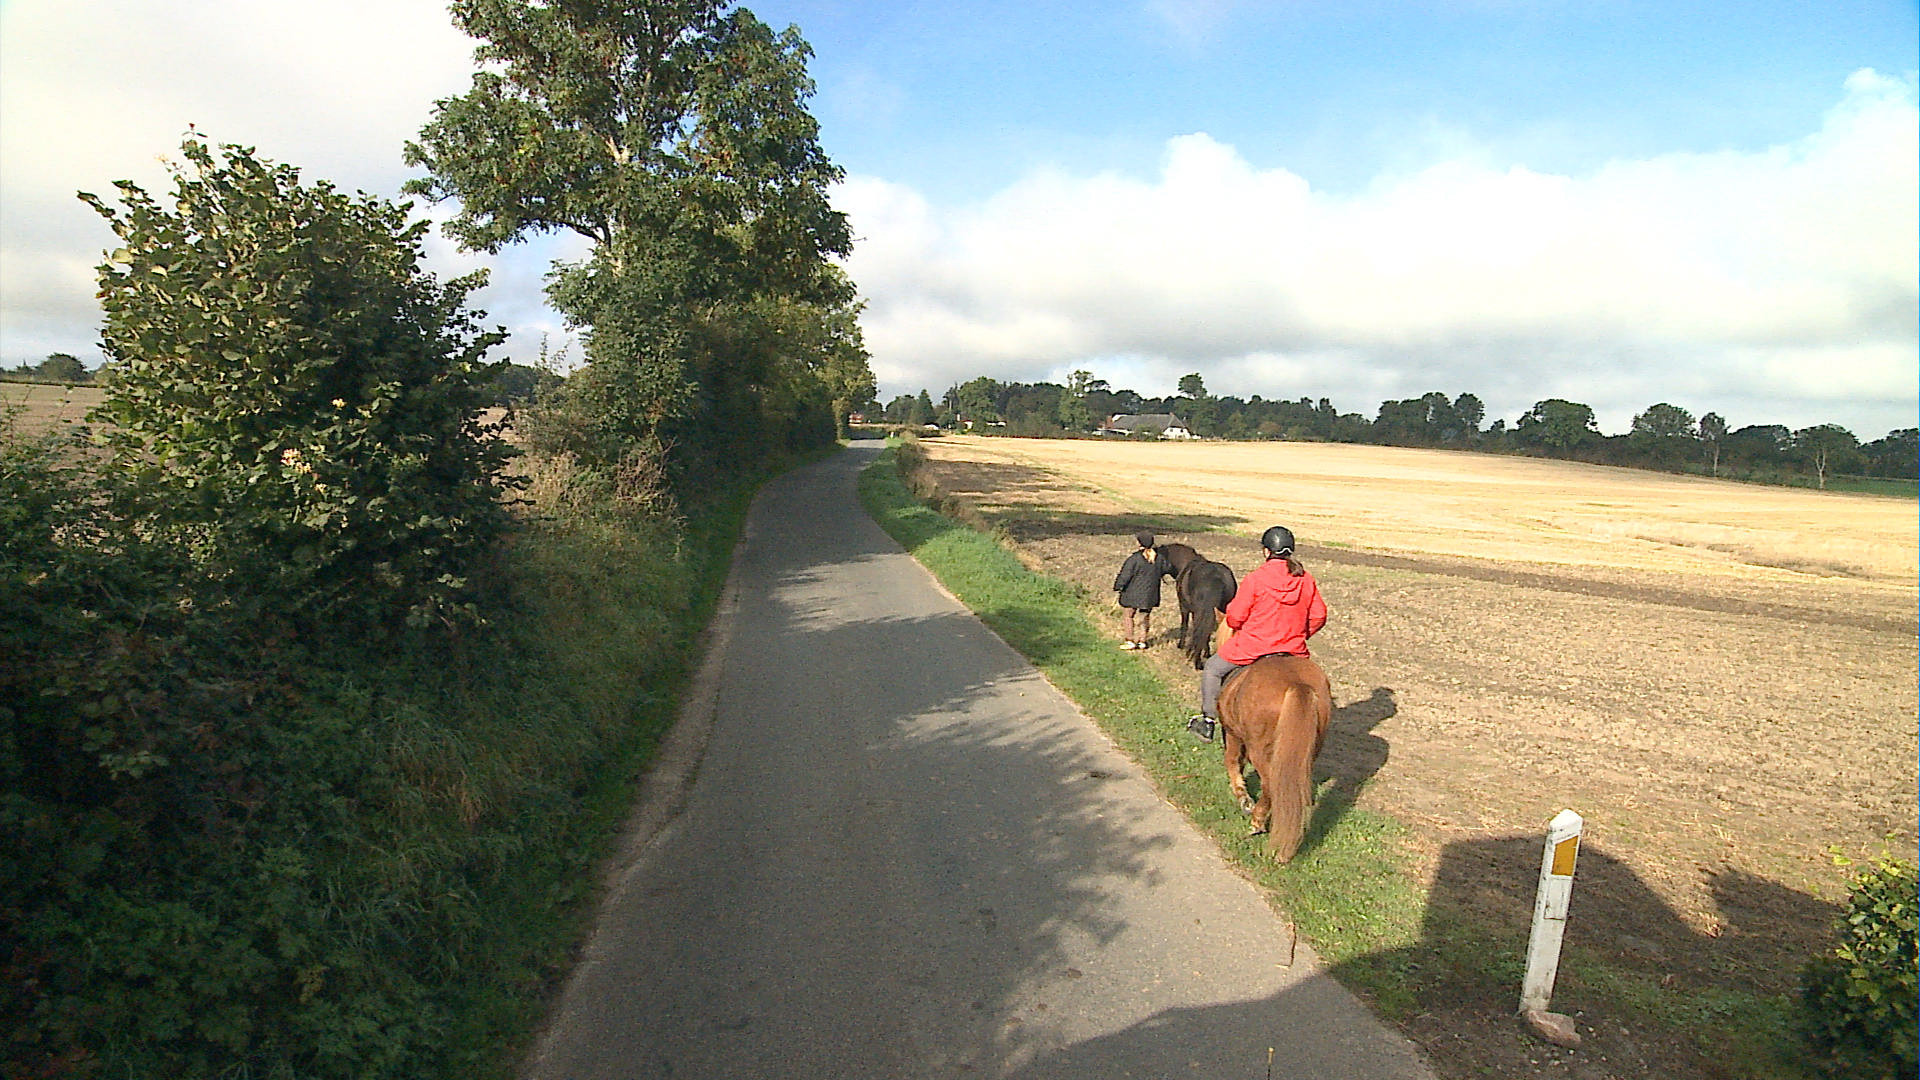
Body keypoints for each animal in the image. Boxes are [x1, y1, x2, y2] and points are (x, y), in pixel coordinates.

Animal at [1216, 654, 1332, 862]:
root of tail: (1299, 684)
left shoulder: (1233, 734)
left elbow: (1232, 761)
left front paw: (1242, 796)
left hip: (1260, 750)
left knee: (1269, 785)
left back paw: (1257, 822)